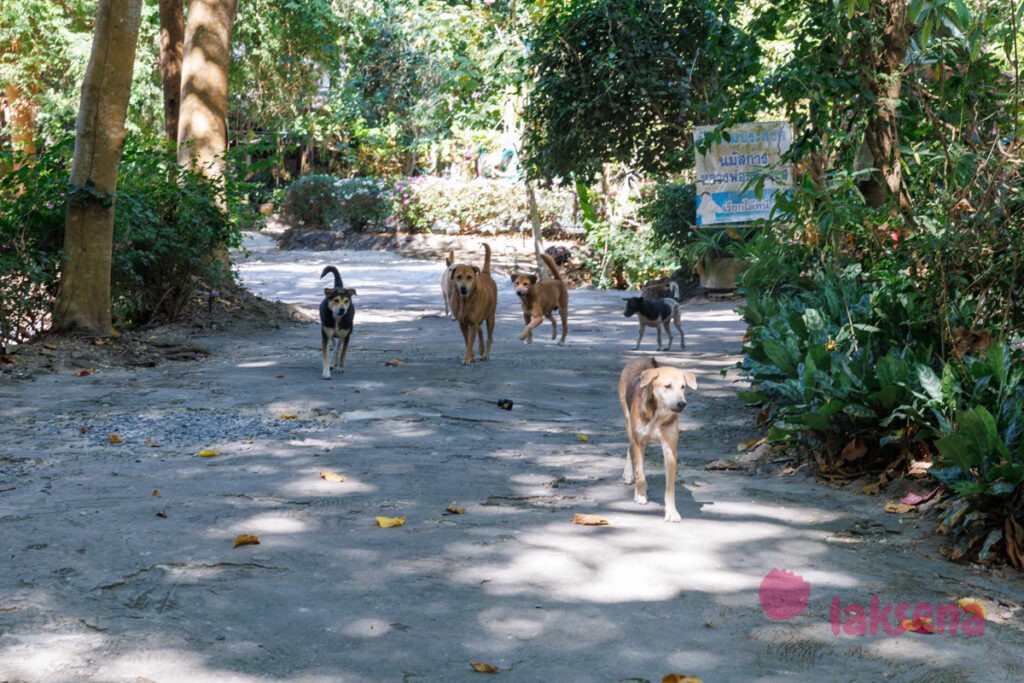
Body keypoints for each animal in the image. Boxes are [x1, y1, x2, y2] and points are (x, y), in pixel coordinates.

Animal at [614, 358, 696, 524]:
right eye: (668, 386)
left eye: (683, 387)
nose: (682, 404)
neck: (658, 414)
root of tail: (642, 359)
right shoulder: (639, 441)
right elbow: (640, 473)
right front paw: (640, 495)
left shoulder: (670, 448)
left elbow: (670, 487)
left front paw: (672, 512)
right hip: (628, 423)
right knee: (631, 449)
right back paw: (629, 476)